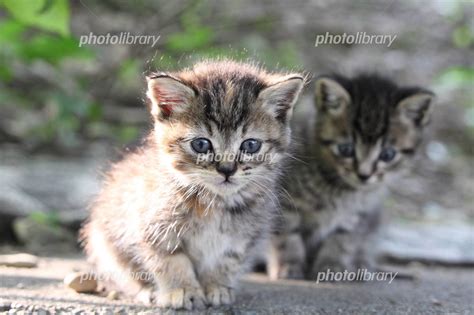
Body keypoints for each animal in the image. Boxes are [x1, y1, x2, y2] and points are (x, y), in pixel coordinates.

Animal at [81, 59, 304, 312]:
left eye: (251, 145)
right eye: (201, 144)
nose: (227, 169)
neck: (215, 203)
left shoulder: (243, 236)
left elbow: (226, 262)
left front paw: (217, 287)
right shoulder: (154, 228)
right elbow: (171, 261)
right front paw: (183, 290)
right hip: (104, 241)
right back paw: (147, 291)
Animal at [266, 74, 434, 282]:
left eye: (387, 155)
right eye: (345, 149)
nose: (364, 175)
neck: (340, 188)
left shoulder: (357, 214)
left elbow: (341, 239)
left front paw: (331, 267)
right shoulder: (285, 203)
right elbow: (287, 235)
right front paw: (288, 265)